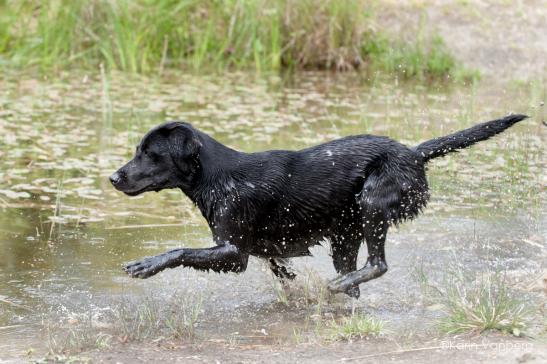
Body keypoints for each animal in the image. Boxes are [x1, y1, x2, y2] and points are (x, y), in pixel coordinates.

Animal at [110, 114, 528, 298]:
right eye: (137, 150)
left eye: (150, 154)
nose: (114, 177)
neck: (218, 176)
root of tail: (412, 152)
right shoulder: (257, 247)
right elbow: (278, 263)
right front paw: (290, 279)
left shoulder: (233, 251)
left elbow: (180, 250)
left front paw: (147, 264)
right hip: (345, 233)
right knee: (356, 271)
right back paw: (345, 289)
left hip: (373, 200)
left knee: (378, 264)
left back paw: (342, 283)